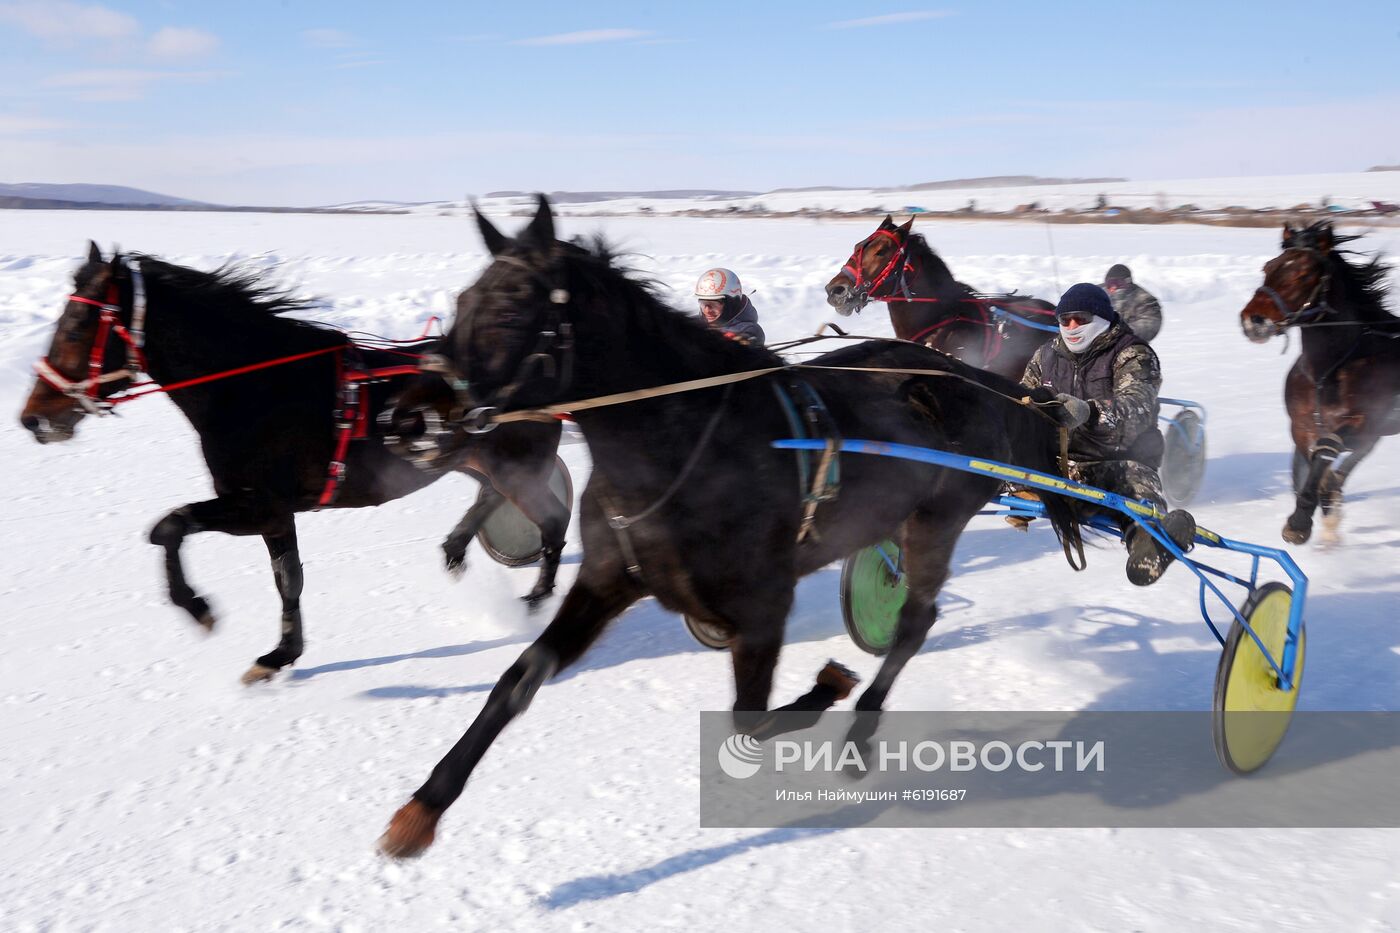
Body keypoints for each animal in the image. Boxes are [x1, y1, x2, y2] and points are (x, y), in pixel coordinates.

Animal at [20, 243, 568, 683]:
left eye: (75, 328)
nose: (32, 419)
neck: (254, 387)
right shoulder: (274, 513)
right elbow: (286, 579)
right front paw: (281, 652)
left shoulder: (257, 506)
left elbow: (169, 527)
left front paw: (200, 609)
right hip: (473, 459)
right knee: (492, 496)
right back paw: (457, 549)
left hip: (513, 464)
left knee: (553, 520)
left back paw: (536, 600)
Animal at [1243, 224, 1394, 546]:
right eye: (1268, 267)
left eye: (1303, 274)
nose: (1254, 321)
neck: (1326, 371)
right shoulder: (1301, 425)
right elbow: (1313, 469)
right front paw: (1322, 513)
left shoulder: (1363, 423)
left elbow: (1326, 455)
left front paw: (1299, 523)